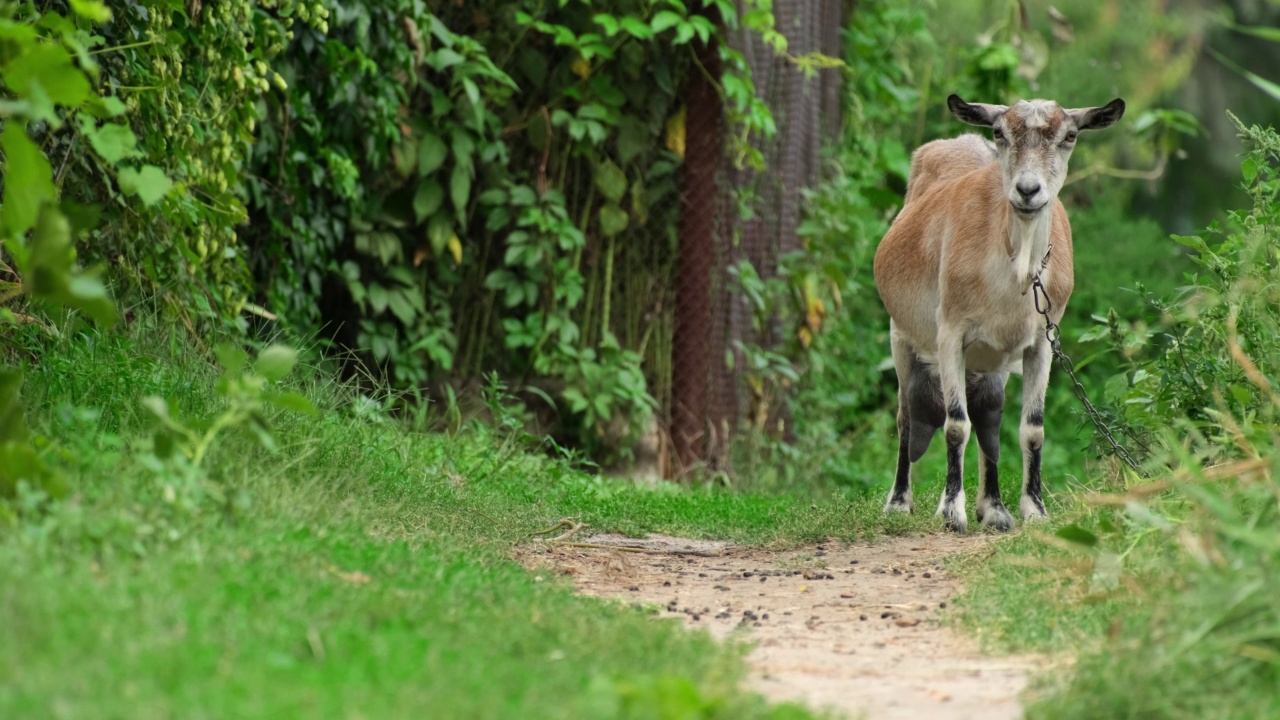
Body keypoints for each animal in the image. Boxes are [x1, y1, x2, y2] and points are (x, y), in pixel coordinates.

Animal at [870, 94, 1131, 532]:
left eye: (1070, 136)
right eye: (999, 132)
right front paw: (952, 512)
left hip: (991, 361)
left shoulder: (1041, 343)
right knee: (907, 415)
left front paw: (1033, 509)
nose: (1027, 190)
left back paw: (993, 509)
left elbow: (1031, 430)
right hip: (900, 335)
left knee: (988, 417)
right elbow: (955, 425)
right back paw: (899, 502)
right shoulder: (950, 334)